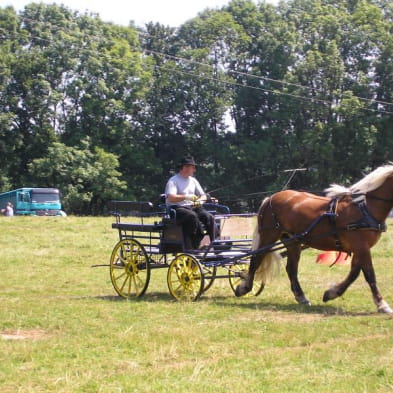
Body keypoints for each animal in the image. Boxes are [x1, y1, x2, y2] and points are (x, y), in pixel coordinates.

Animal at [234, 162, 392, 312]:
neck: (364, 208)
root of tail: (270, 198)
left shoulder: (361, 248)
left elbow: (355, 273)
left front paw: (331, 293)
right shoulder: (361, 247)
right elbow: (369, 274)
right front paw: (382, 304)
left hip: (292, 241)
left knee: (291, 268)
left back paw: (301, 297)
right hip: (269, 235)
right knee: (256, 259)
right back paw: (244, 288)